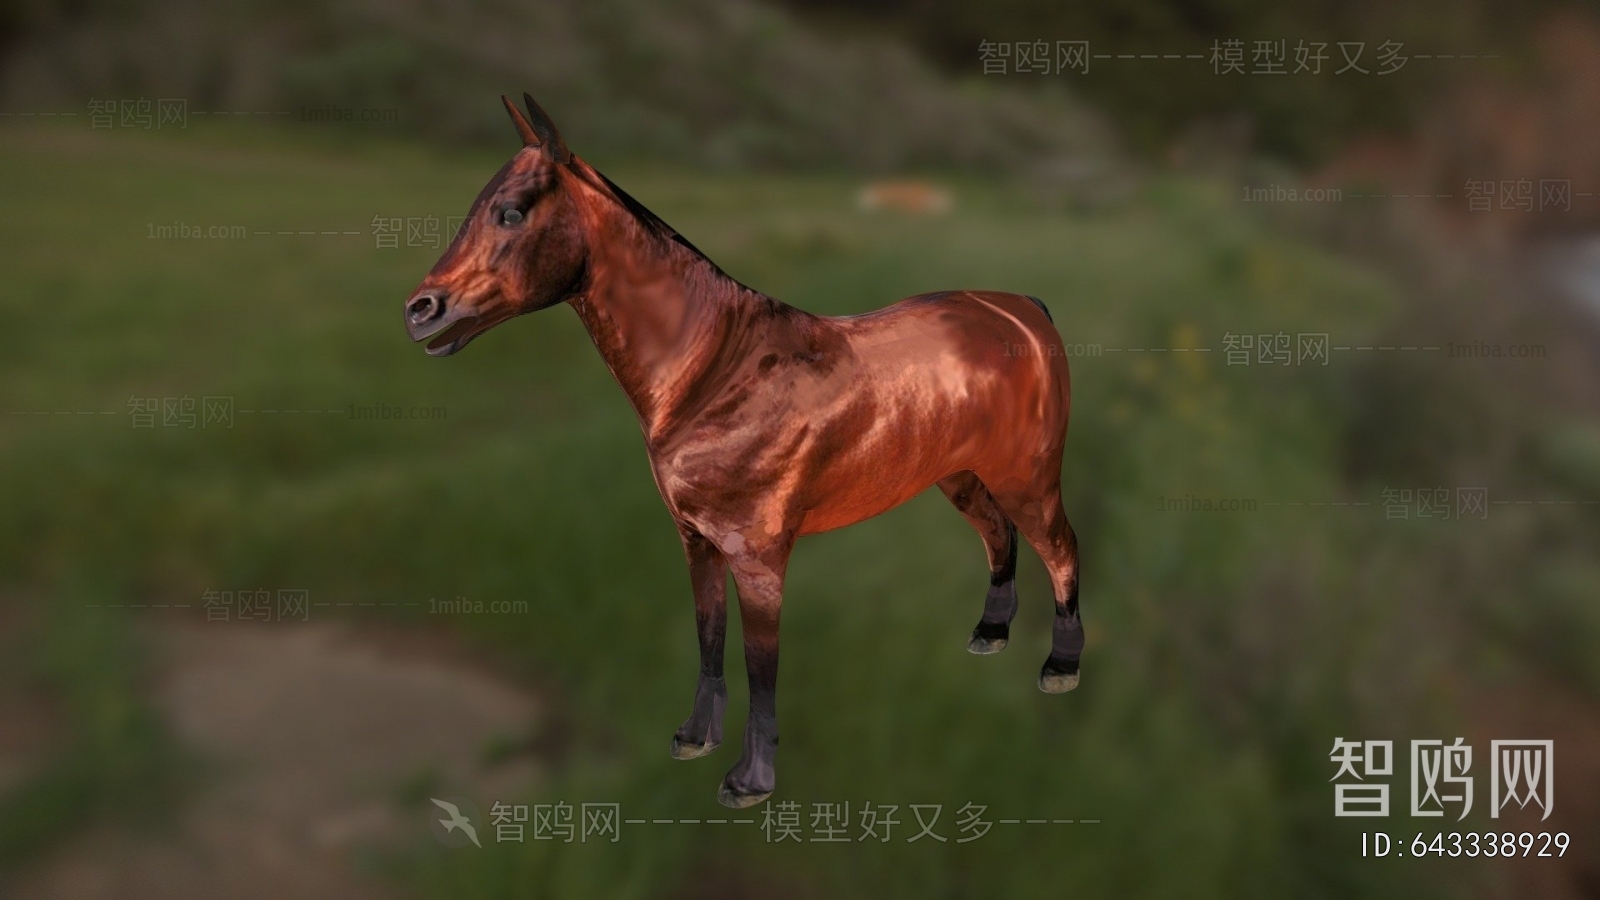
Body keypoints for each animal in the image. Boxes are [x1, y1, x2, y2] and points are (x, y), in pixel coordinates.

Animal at [403, 95, 1083, 809]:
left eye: (511, 210)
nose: (421, 310)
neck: (716, 370)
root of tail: (1022, 309)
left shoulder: (759, 559)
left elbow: (762, 666)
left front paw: (750, 781)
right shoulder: (697, 540)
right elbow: (708, 638)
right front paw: (693, 738)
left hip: (1029, 476)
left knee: (1060, 547)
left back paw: (1060, 668)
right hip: (962, 476)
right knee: (999, 535)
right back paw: (990, 635)